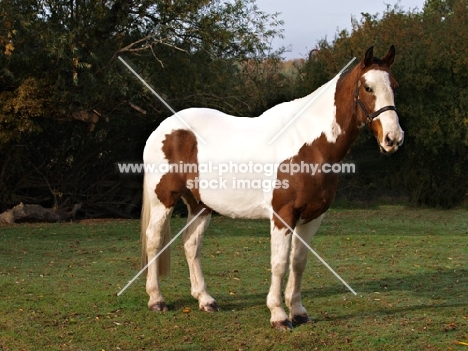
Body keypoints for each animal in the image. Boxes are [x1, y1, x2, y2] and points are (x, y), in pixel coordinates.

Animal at [139, 46, 402, 330]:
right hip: (163, 199)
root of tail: (163, 128)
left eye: (394, 86)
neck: (310, 145)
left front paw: (298, 311)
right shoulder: (282, 215)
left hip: (200, 205)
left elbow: (298, 262)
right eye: (368, 87)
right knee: (154, 240)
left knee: (191, 244)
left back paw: (205, 300)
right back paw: (156, 300)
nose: (393, 138)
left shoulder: (313, 216)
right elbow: (279, 263)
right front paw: (278, 314)